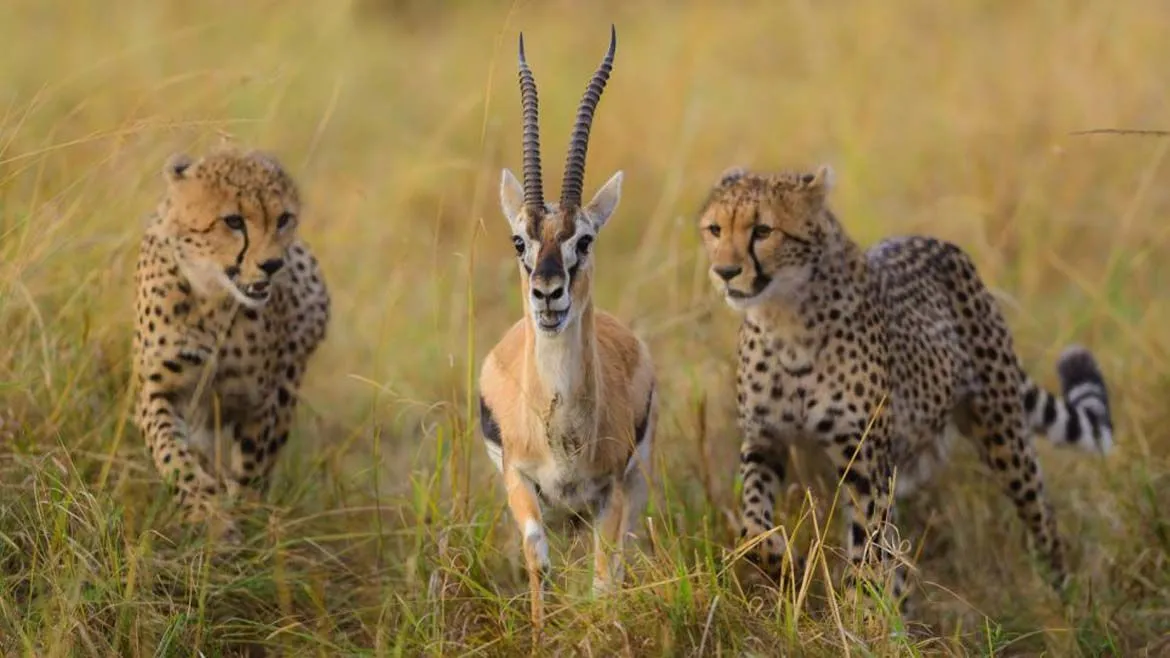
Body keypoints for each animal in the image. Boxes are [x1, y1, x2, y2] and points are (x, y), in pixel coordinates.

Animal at [131, 147, 329, 538]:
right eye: (234, 221)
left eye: (283, 219)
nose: (272, 264)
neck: (214, 297)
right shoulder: (158, 389)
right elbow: (171, 454)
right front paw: (208, 515)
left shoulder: (260, 402)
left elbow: (252, 469)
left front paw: (243, 519)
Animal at [692, 163, 1113, 604]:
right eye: (715, 229)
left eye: (762, 230)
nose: (725, 272)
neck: (784, 316)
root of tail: (937, 242)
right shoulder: (765, 440)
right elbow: (752, 530)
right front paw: (790, 567)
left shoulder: (864, 464)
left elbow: (867, 554)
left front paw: (861, 612)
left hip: (1003, 435)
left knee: (1041, 514)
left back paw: (1064, 595)